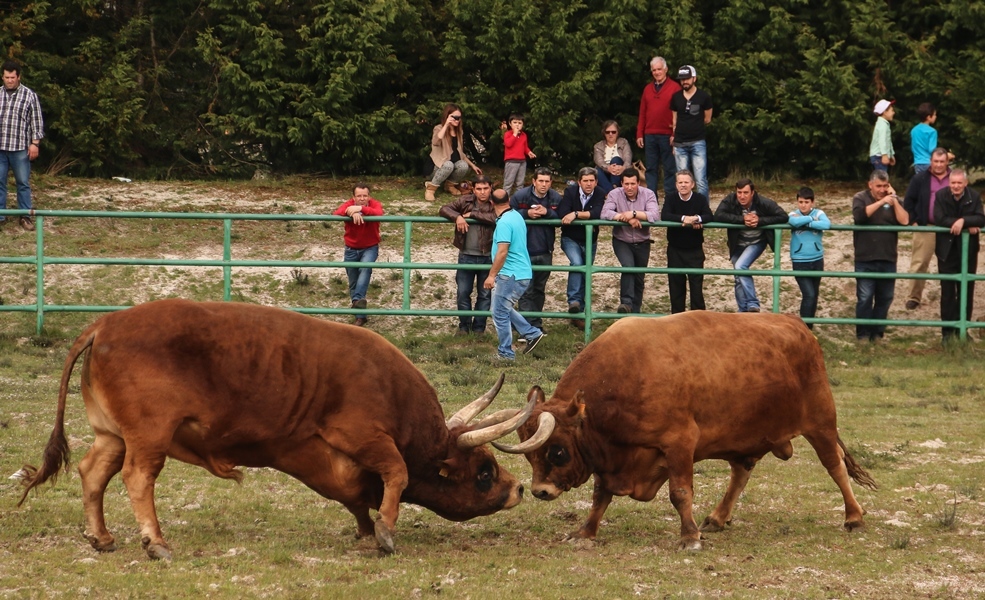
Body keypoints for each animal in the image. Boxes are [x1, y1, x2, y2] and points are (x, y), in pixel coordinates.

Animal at [17, 298, 532, 556]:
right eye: (484, 471)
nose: (518, 488)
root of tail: (106, 325)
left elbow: (359, 498)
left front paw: (368, 528)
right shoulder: (366, 438)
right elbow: (397, 475)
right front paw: (386, 531)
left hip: (113, 436)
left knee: (93, 473)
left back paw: (101, 538)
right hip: (148, 437)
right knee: (137, 478)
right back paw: (156, 543)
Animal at [500, 312, 876, 552]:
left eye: (558, 450)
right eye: (531, 455)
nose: (540, 491)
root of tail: (799, 326)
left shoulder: (679, 444)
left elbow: (680, 493)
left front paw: (689, 537)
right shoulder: (611, 460)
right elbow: (600, 497)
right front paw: (584, 532)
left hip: (821, 422)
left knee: (835, 465)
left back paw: (854, 516)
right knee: (741, 472)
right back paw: (719, 517)